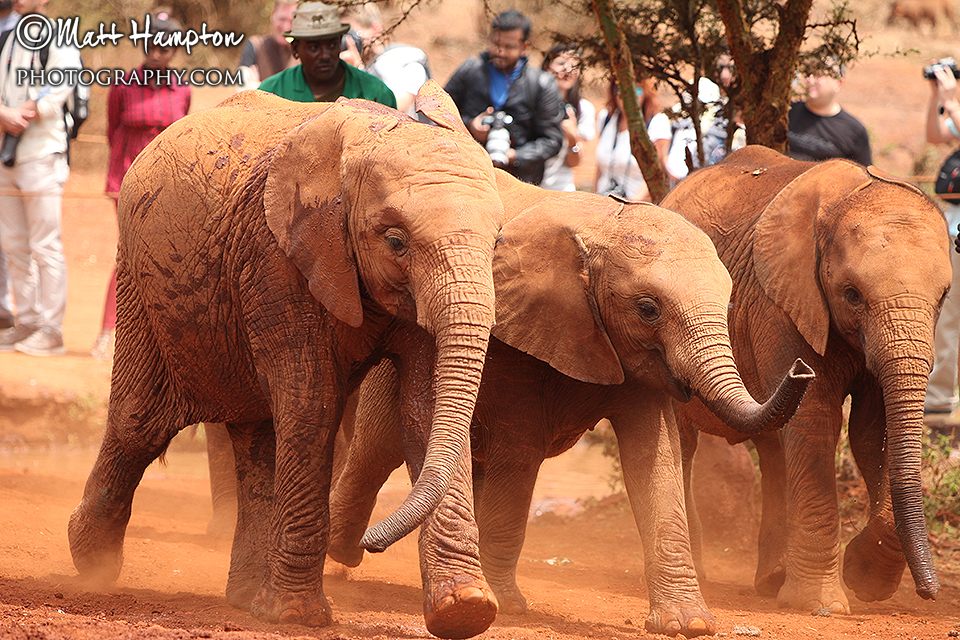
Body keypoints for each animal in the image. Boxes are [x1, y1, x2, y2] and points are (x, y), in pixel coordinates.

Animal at [67, 83, 510, 629]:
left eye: (497, 241)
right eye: (396, 241)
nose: (368, 545)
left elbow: (427, 412)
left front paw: (465, 611)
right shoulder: (278, 258)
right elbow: (313, 402)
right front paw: (297, 616)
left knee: (256, 437)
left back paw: (244, 599)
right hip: (140, 276)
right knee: (140, 422)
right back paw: (92, 563)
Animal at [322, 173, 815, 638]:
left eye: (729, 304)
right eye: (648, 308)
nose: (802, 370)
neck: (603, 227)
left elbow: (655, 459)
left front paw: (687, 625)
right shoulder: (514, 337)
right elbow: (519, 453)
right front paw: (508, 607)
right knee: (377, 449)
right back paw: (340, 560)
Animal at [661, 145, 951, 614]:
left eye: (943, 296)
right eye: (852, 294)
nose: (932, 592)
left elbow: (873, 432)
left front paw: (864, 577)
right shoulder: (780, 300)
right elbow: (817, 419)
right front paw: (823, 605)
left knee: (774, 443)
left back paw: (773, 580)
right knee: (684, 439)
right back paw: (708, 572)